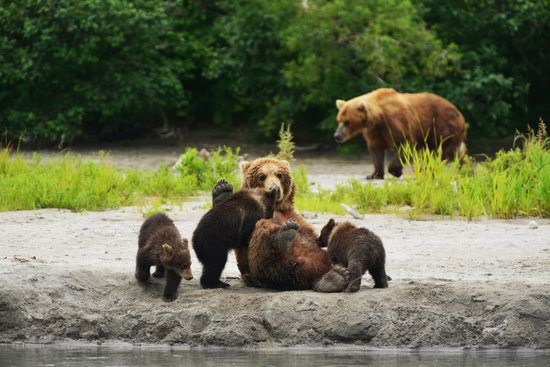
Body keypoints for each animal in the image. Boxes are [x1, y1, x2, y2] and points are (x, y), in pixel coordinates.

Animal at [213, 158, 352, 294]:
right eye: (262, 176)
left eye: (279, 174)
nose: (275, 188)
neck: (277, 206)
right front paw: (221, 189)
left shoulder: (296, 217)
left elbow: (315, 238)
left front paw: (330, 228)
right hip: (262, 269)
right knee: (264, 241)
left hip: (322, 261)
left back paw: (336, 277)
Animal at [334, 89, 468, 181]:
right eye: (339, 120)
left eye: (347, 122)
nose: (336, 135)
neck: (378, 117)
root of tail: (461, 116)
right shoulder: (374, 132)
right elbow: (376, 151)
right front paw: (373, 175)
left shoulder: (396, 122)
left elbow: (405, 144)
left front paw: (396, 171)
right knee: (456, 153)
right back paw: (466, 169)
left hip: (442, 127)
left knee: (441, 152)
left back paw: (427, 171)